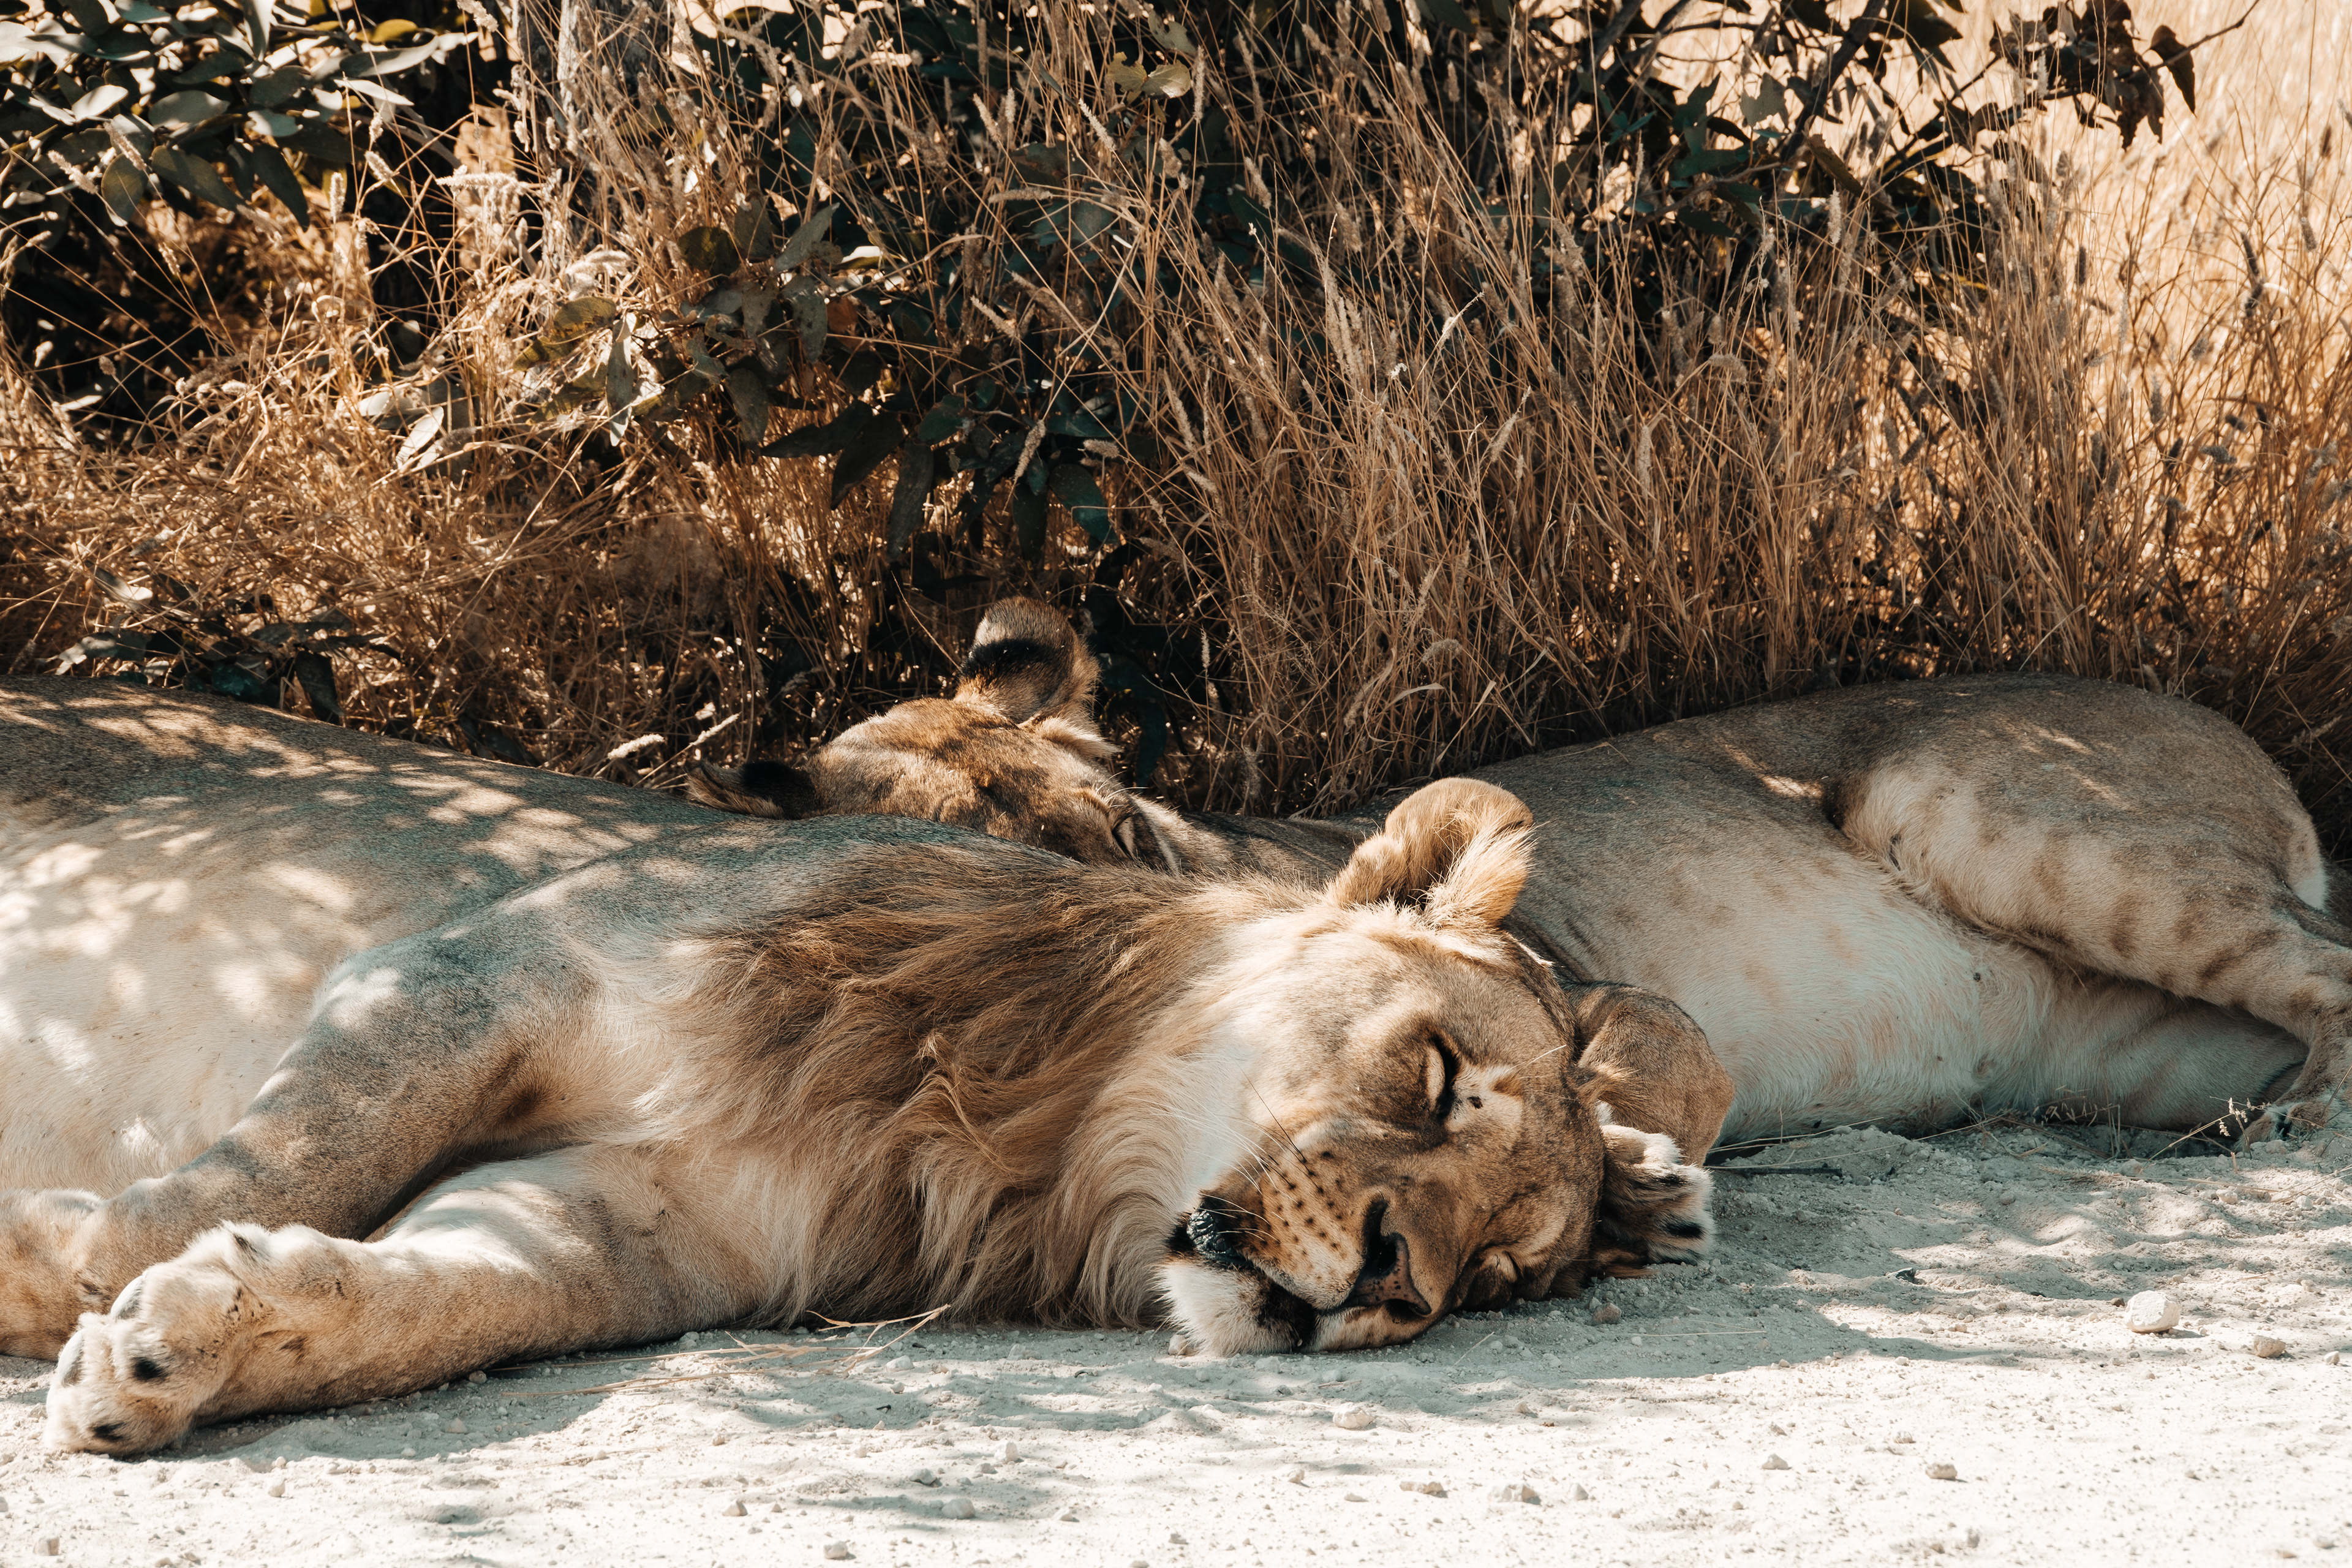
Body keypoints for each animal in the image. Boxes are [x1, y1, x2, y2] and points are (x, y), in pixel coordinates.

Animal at [0, 676, 1726, 1456]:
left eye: (1493, 1270)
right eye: (1434, 1078)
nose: (1388, 1280)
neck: (1004, 1125)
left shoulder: (630, 1221)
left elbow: (428, 1303)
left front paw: (186, 1353)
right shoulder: (482, 969)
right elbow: (289, 1157)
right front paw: (49, 1262)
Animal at [691, 599, 2352, 1146]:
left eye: (1128, 838)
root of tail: (2247, 745)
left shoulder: (1589, 977)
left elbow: (1646, 1066)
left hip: (1982, 806)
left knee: (2336, 974)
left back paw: (2284, 1126)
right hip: (2111, 1044)